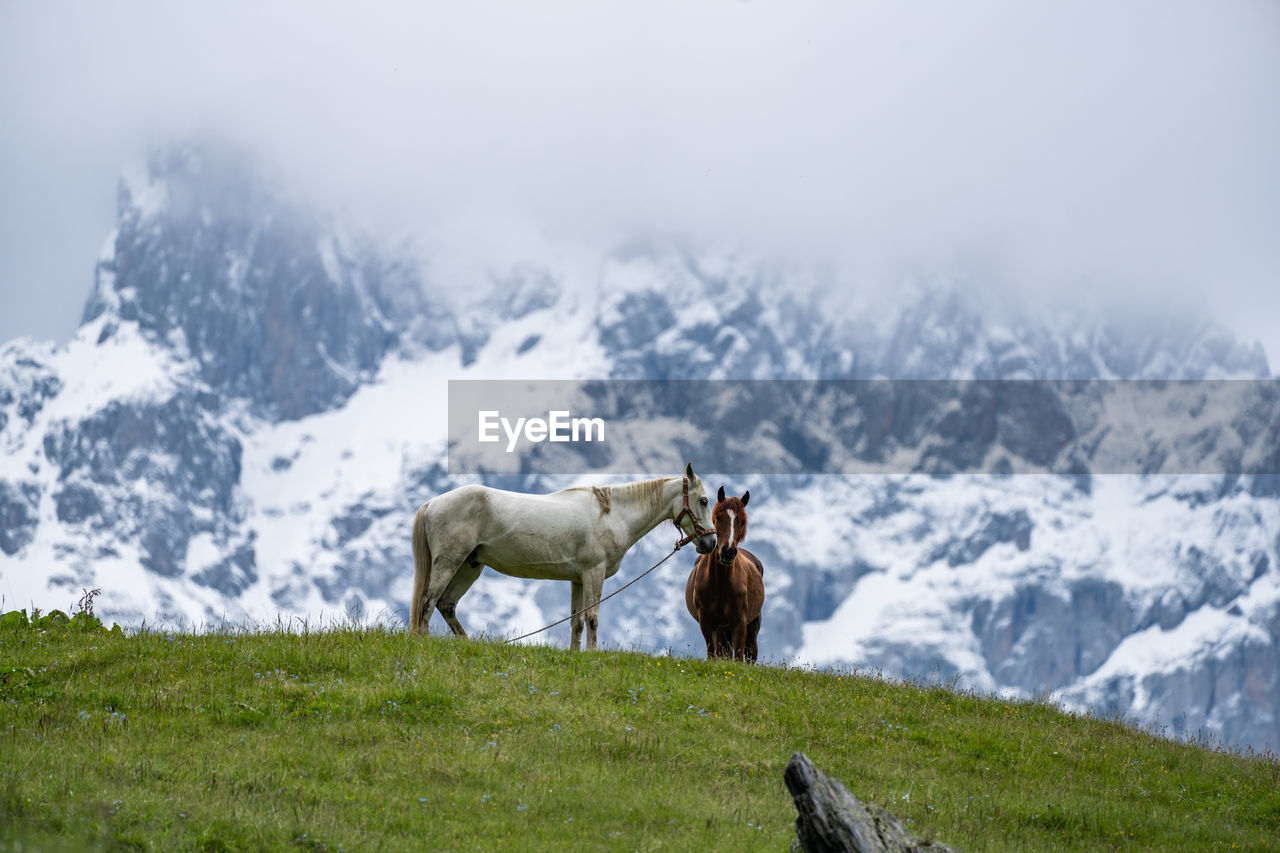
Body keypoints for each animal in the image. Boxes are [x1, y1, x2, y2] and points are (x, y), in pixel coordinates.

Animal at [409, 461, 716, 648]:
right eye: (703, 501)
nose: (711, 542)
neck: (612, 515)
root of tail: (432, 503)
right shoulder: (593, 573)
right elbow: (592, 617)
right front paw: (592, 655)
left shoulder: (577, 579)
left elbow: (576, 621)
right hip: (449, 562)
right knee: (428, 602)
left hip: (469, 567)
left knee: (446, 605)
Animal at [686, 484, 762, 655]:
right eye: (719, 517)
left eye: (742, 521)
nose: (728, 552)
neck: (719, 582)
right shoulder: (707, 624)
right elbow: (713, 654)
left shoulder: (739, 624)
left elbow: (739, 656)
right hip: (722, 631)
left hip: (751, 626)